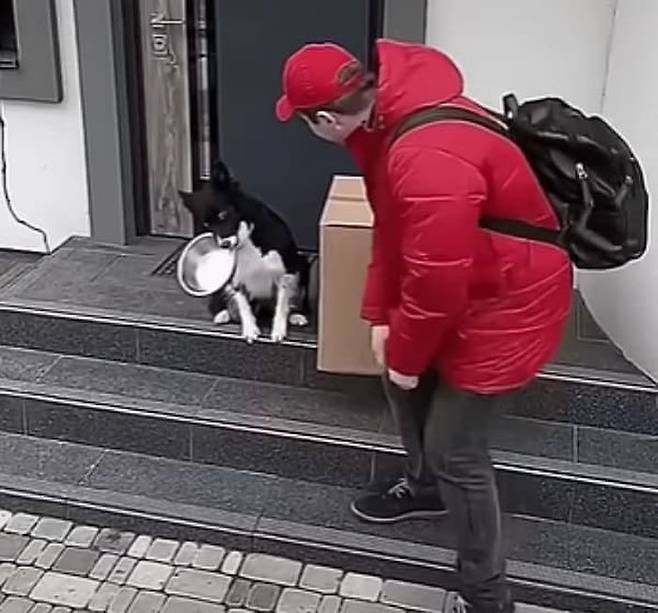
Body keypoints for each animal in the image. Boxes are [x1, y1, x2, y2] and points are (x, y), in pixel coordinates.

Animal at [179, 161, 309, 343]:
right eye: (206, 224)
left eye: (223, 214)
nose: (224, 244)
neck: (246, 240)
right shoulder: (235, 279)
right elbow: (244, 305)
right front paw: (250, 329)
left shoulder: (285, 272)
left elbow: (282, 304)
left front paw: (278, 330)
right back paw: (223, 314)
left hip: (302, 265)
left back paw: (296, 315)